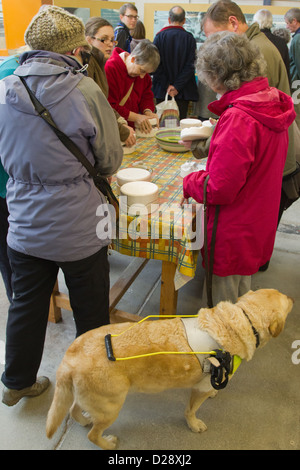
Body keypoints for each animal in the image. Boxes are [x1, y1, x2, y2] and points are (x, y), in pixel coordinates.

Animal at [46, 288, 292, 450]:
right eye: (286, 301)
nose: (292, 297)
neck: (243, 319)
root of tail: (70, 357)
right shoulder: (199, 388)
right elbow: (191, 410)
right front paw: (194, 424)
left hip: (93, 398)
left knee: (73, 410)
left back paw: (84, 419)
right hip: (111, 406)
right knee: (91, 435)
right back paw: (107, 443)